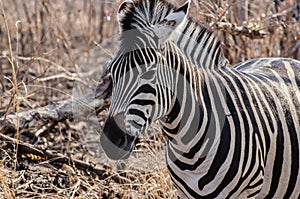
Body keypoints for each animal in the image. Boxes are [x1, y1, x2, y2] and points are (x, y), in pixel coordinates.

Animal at [100, 0, 300, 197]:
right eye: (112, 73)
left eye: (148, 74)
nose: (111, 139)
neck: (188, 147)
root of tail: (284, 58)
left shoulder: (249, 190)